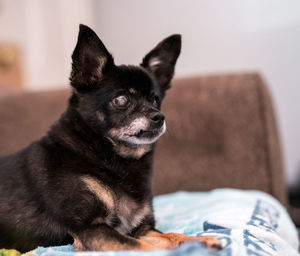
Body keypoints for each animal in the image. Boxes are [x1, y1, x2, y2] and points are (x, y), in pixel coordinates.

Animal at [0, 25, 220, 253]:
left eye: (155, 100)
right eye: (121, 100)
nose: (159, 117)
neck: (113, 156)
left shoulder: (140, 229)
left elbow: (169, 236)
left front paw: (201, 241)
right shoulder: (91, 229)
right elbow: (142, 247)